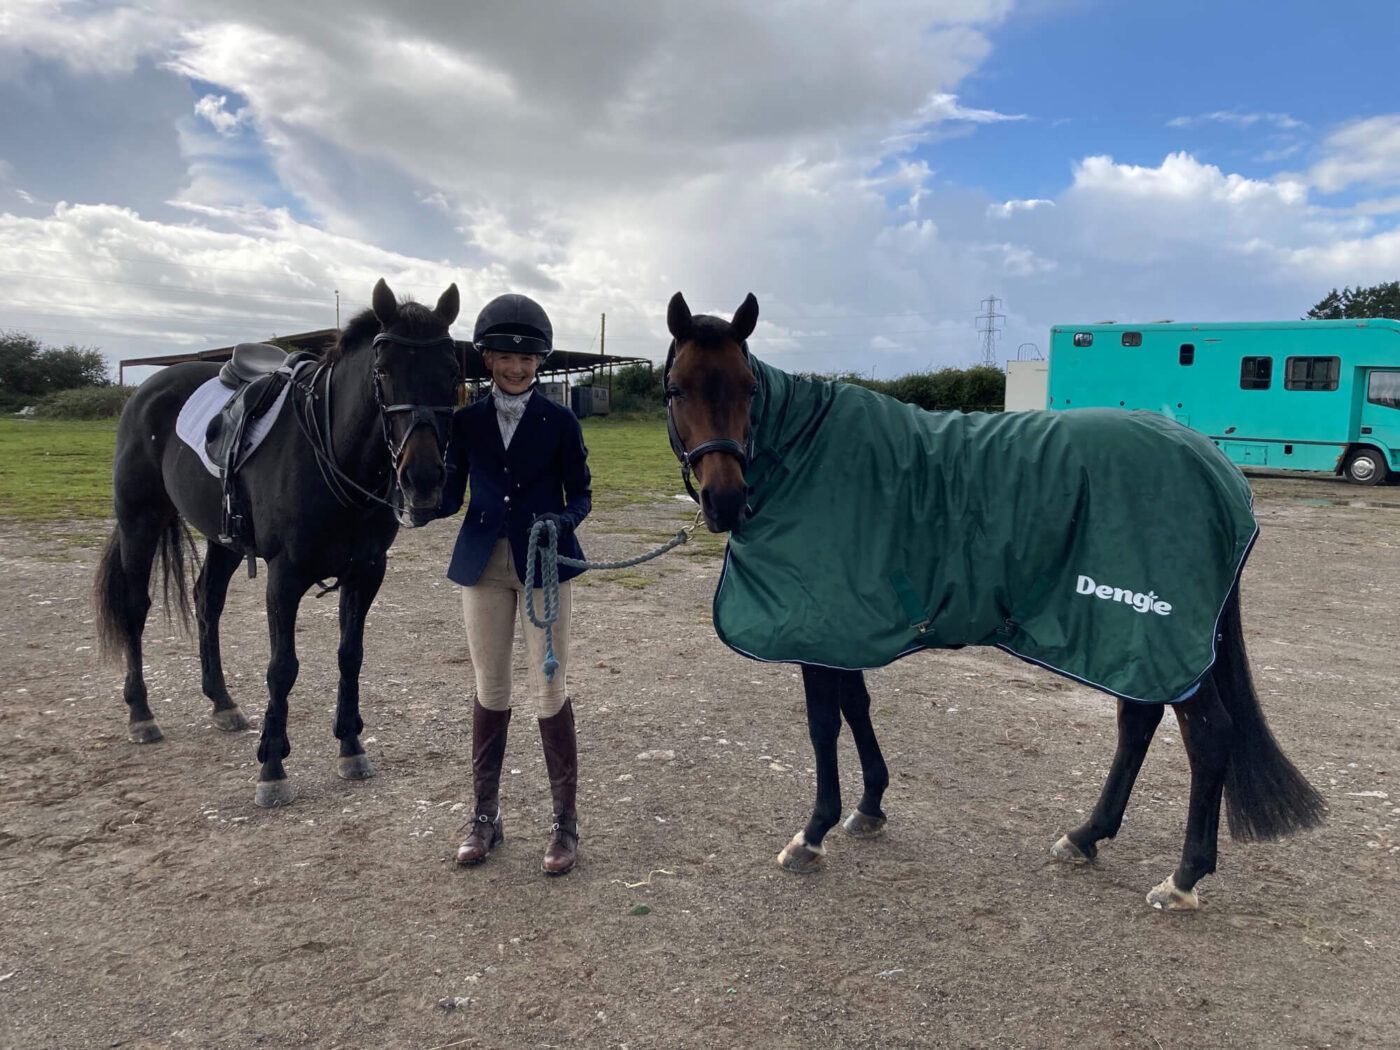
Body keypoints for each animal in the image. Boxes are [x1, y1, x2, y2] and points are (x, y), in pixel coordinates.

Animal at [98, 277, 459, 806]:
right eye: (383, 371)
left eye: (451, 372)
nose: (425, 479)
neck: (335, 455)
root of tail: (147, 388)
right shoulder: (285, 577)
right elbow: (282, 667)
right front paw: (272, 767)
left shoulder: (367, 572)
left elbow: (350, 655)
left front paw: (351, 747)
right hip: (139, 521)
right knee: (134, 608)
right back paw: (141, 713)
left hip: (223, 541)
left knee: (207, 601)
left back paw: (222, 703)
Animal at [663, 289, 1321, 912]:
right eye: (676, 388)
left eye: (749, 388)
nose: (726, 501)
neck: (811, 456)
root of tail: (1220, 472)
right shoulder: (844, 626)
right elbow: (857, 707)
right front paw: (870, 806)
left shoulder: (815, 625)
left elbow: (824, 724)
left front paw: (811, 834)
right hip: (1127, 642)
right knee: (1137, 722)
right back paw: (1085, 836)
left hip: (1156, 634)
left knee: (1209, 736)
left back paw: (1182, 879)